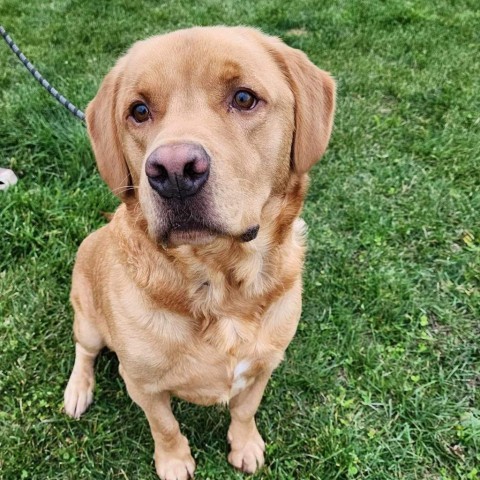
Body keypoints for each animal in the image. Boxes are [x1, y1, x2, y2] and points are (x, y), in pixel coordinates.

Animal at [62, 26, 334, 480]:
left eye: (244, 98)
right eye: (139, 110)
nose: (173, 171)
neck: (220, 283)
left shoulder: (264, 365)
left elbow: (244, 409)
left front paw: (245, 445)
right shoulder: (142, 384)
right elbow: (166, 426)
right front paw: (174, 462)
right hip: (89, 321)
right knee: (84, 351)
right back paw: (78, 390)